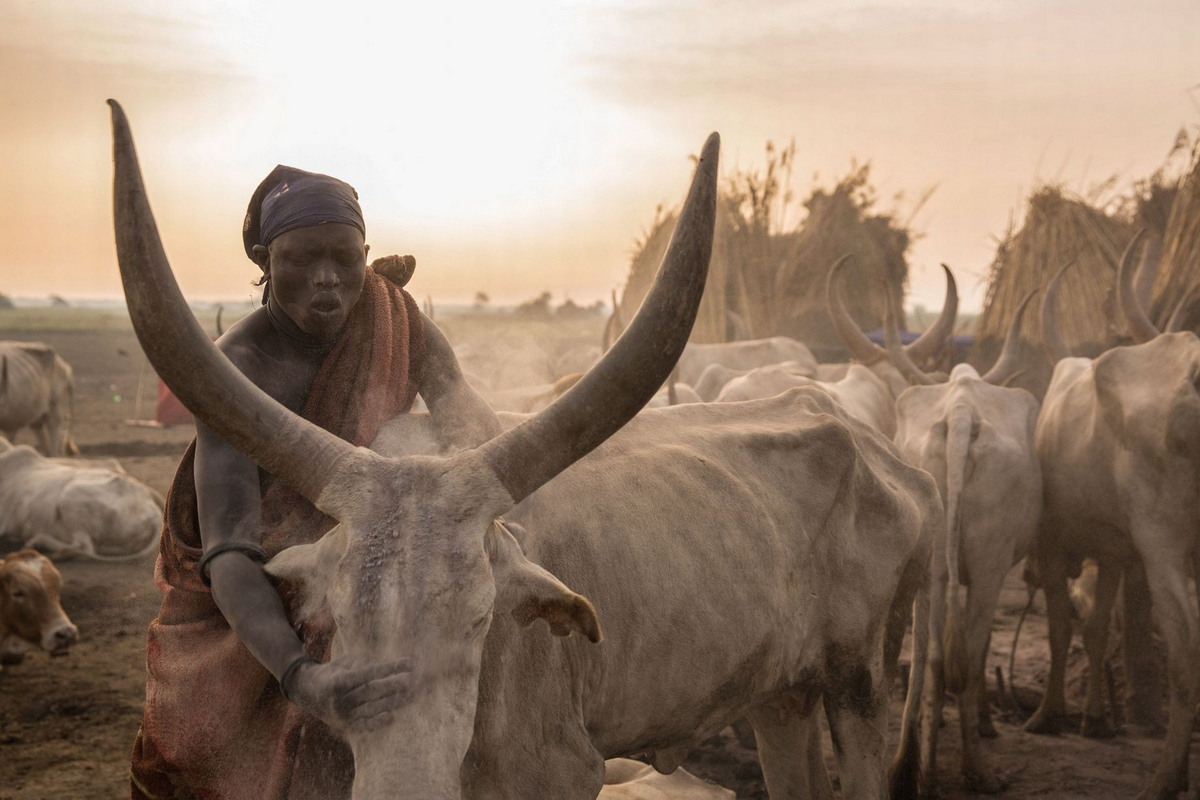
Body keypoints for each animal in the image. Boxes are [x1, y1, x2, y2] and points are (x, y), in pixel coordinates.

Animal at [1022, 227, 1200, 796]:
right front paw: (1096, 720)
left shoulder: (1055, 542)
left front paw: (1049, 714)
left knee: (1185, 651)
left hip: (1165, 546)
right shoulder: (1116, 552)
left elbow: (1061, 625)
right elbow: (1096, 627)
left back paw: (1164, 779)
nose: (1026, 574)